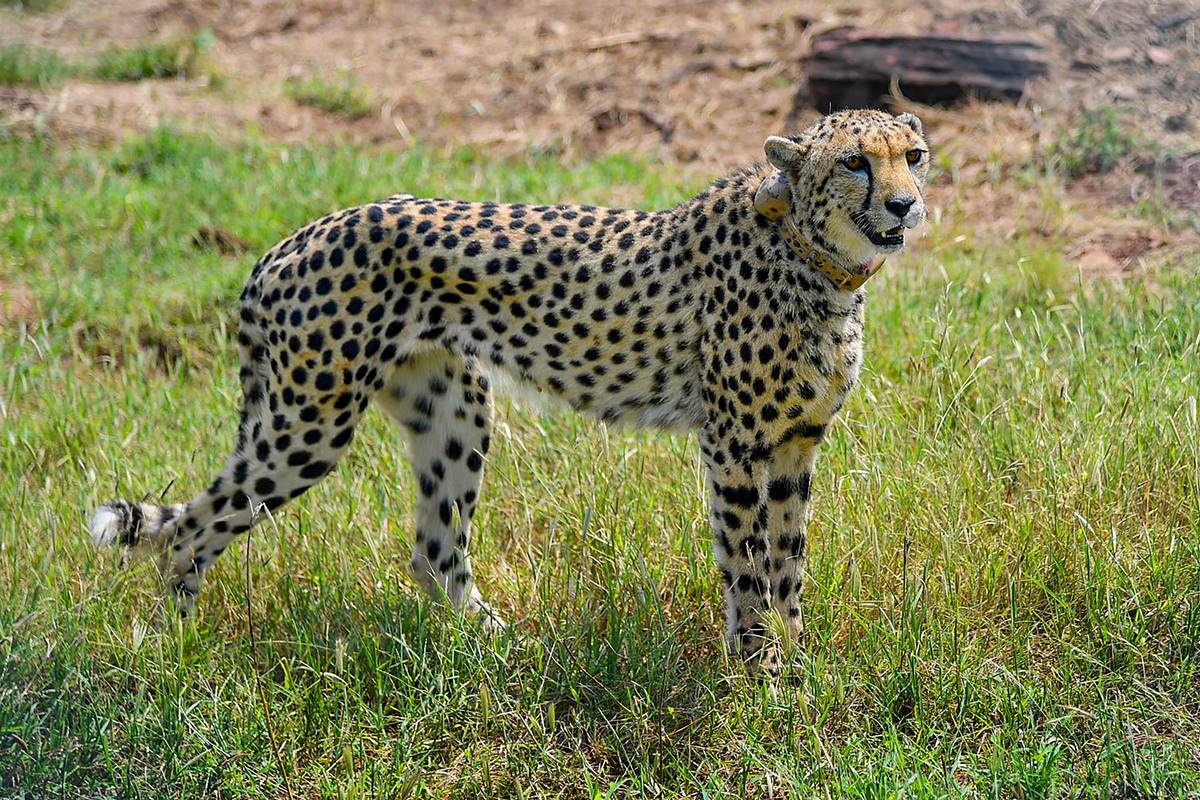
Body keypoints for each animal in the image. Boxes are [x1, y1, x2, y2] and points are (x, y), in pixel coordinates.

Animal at [88, 108, 931, 675]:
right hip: (309, 423)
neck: (816, 258)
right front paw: (759, 673)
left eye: (914, 155)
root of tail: (290, 241)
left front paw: (798, 665)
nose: (904, 204)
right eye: (855, 162)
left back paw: (502, 649)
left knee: (434, 551)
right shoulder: (733, 446)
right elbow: (748, 567)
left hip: (452, 409)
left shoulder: (794, 443)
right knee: (195, 527)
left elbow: (789, 563)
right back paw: (171, 648)